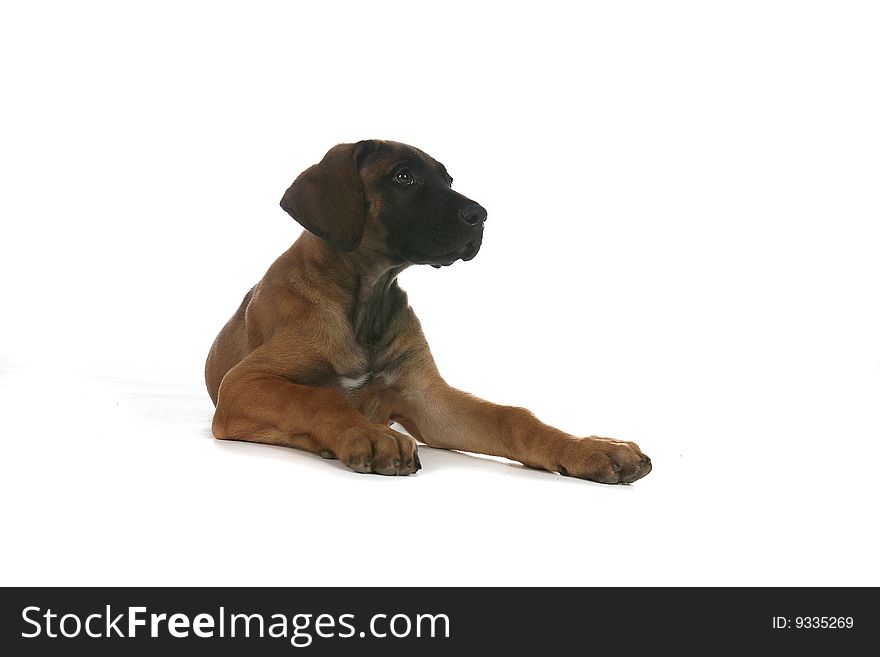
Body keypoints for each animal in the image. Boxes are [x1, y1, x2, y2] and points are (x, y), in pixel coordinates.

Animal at [203, 141, 648, 482]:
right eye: (404, 177)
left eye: (448, 180)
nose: (480, 215)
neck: (367, 302)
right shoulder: (243, 382)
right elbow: (319, 399)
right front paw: (367, 433)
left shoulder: (427, 398)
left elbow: (513, 416)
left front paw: (590, 448)